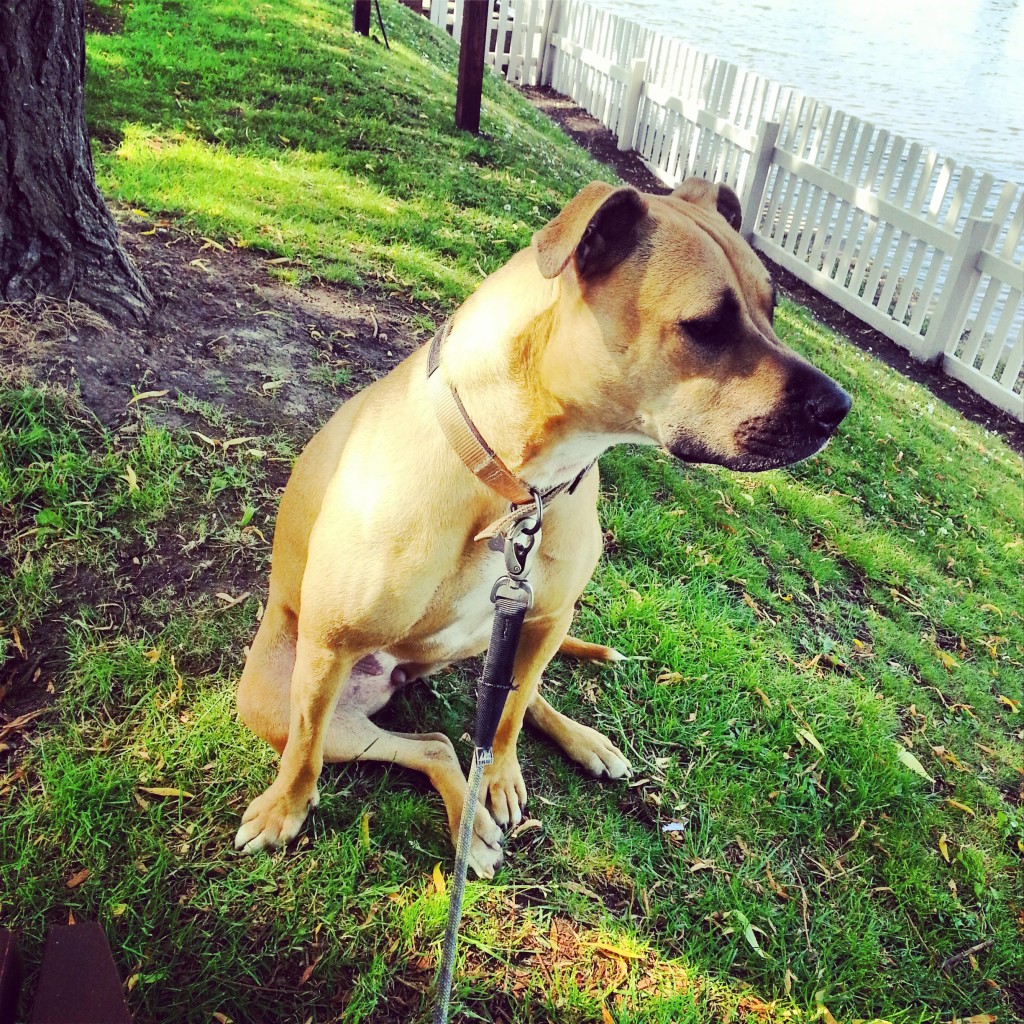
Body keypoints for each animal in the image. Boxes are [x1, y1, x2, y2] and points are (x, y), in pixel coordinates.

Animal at [232, 180, 847, 876]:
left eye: (771, 309)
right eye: (706, 327)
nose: (839, 407)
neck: (516, 481)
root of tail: (407, 675)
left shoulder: (547, 616)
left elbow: (506, 719)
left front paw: (501, 777)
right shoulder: (329, 649)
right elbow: (304, 752)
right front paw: (284, 810)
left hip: (513, 636)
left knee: (503, 709)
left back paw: (573, 747)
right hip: (278, 698)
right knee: (429, 742)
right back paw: (467, 824)